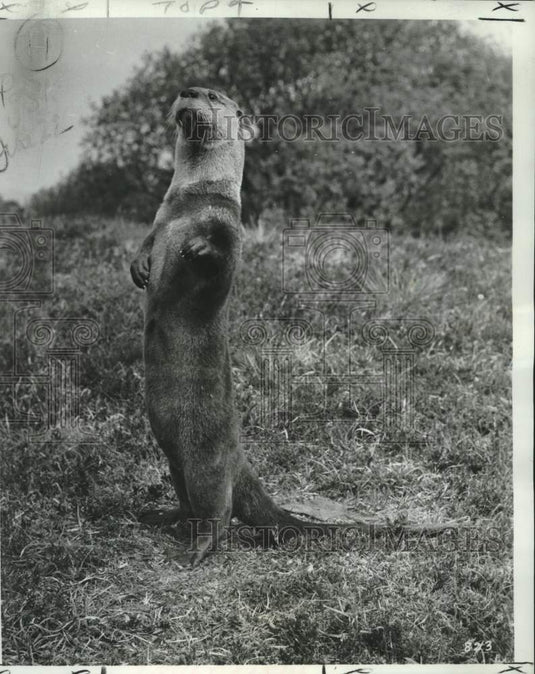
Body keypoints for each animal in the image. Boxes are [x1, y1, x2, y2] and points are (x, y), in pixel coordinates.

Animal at [130, 87, 454, 565]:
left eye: (212, 95)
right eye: (190, 88)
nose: (188, 92)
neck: (192, 203)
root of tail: (238, 458)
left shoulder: (231, 230)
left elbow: (221, 264)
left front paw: (199, 248)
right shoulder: (160, 218)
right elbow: (147, 243)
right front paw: (139, 267)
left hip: (205, 457)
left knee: (218, 508)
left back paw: (198, 550)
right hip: (173, 458)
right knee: (188, 499)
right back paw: (161, 516)